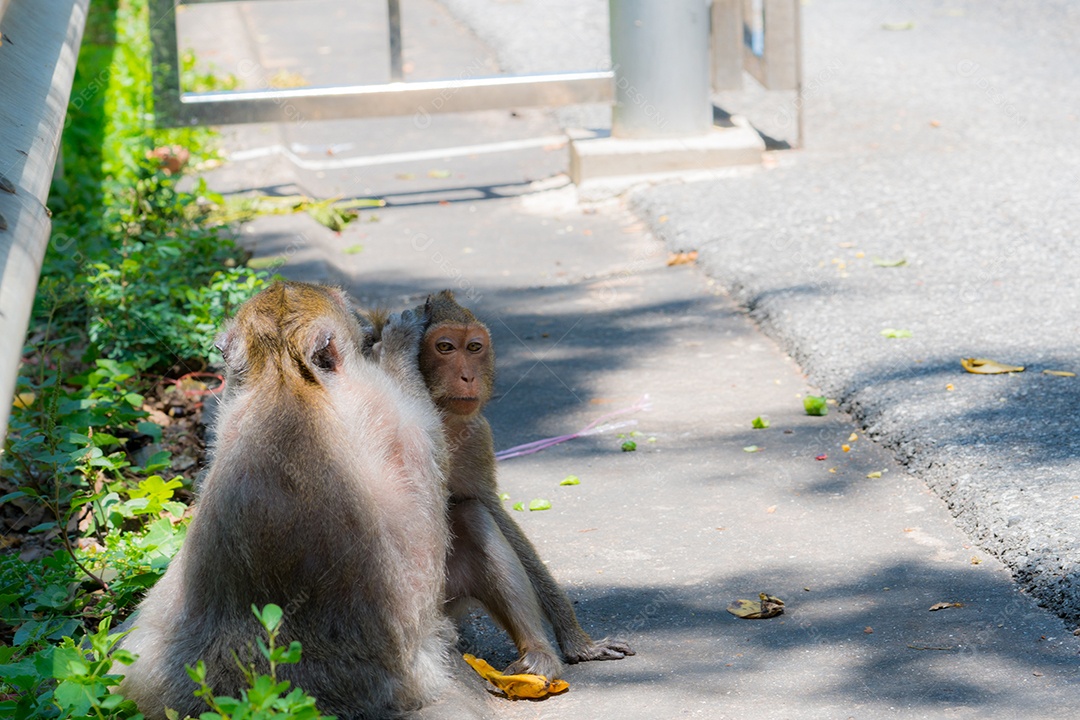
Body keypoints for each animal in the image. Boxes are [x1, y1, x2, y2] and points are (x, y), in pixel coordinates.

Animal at [372, 290, 633, 682]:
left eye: (474, 347)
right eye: (445, 347)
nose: (467, 376)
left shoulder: (478, 432)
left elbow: (492, 509)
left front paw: (578, 643)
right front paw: (397, 346)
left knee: (474, 515)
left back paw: (538, 655)